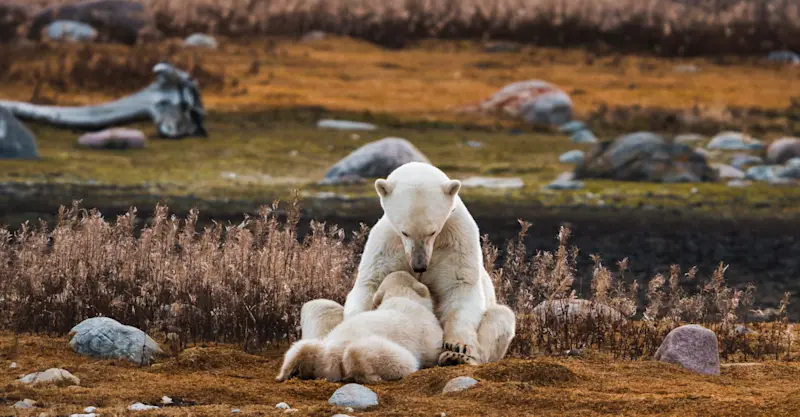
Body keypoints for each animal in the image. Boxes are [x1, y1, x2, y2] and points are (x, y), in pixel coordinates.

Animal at [276, 271, 443, 383]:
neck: (400, 296)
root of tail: (331, 355)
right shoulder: (428, 329)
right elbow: (433, 349)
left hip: (320, 349)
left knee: (301, 348)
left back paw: (286, 373)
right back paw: (371, 376)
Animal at [300, 162, 516, 366]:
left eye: (432, 231)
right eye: (405, 232)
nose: (419, 266)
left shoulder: (457, 239)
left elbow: (460, 285)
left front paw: (457, 347)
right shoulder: (387, 243)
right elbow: (370, 284)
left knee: (501, 317)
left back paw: (458, 358)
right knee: (319, 307)